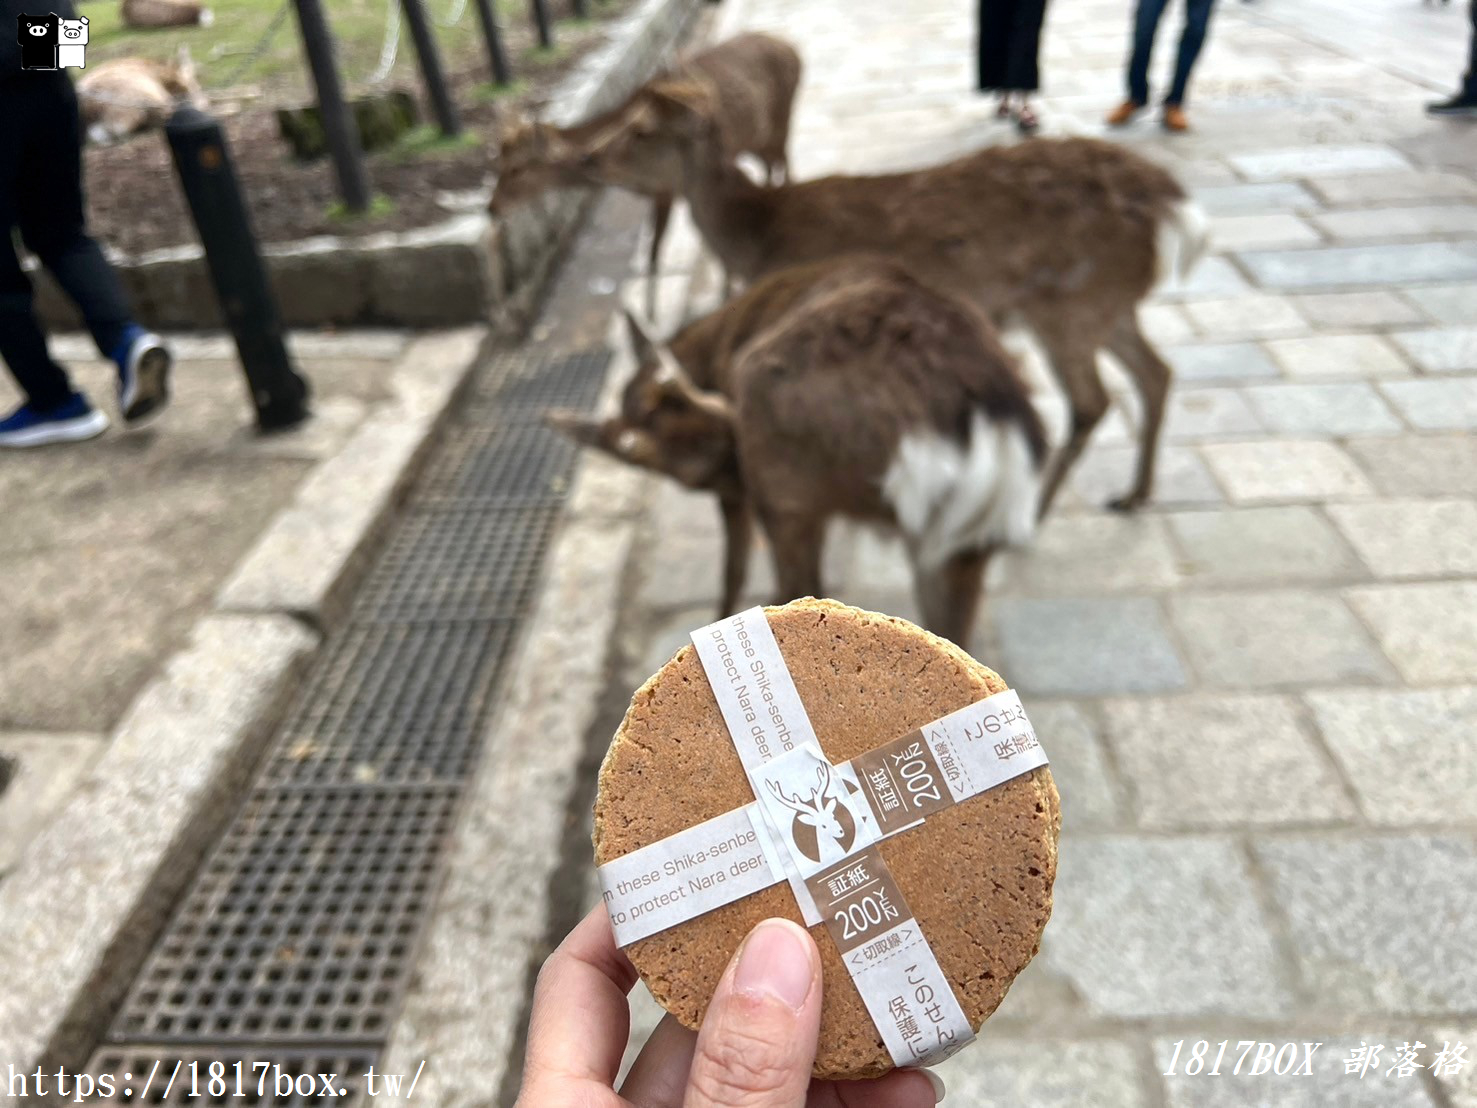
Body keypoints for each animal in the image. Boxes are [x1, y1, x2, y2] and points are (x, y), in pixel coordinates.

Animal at [490, 32, 803, 316]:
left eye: (516, 168)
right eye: (497, 163)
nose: (491, 207)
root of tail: (792, 48)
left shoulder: (665, 189)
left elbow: (656, 251)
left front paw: (652, 314)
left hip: (781, 121)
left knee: (787, 163)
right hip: (757, 140)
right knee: (772, 166)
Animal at [546, 255, 1051, 647]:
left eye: (707, 466)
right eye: (688, 475)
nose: (732, 468)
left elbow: (734, 565)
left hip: (787, 481)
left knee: (804, 586)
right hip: (960, 542)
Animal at [576, 78, 1211, 520]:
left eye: (640, 130)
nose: (588, 157)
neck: (759, 238)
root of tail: (1171, 203)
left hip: (1068, 306)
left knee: (1092, 401)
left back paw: (1038, 512)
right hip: (1111, 302)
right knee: (1157, 372)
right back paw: (1134, 494)